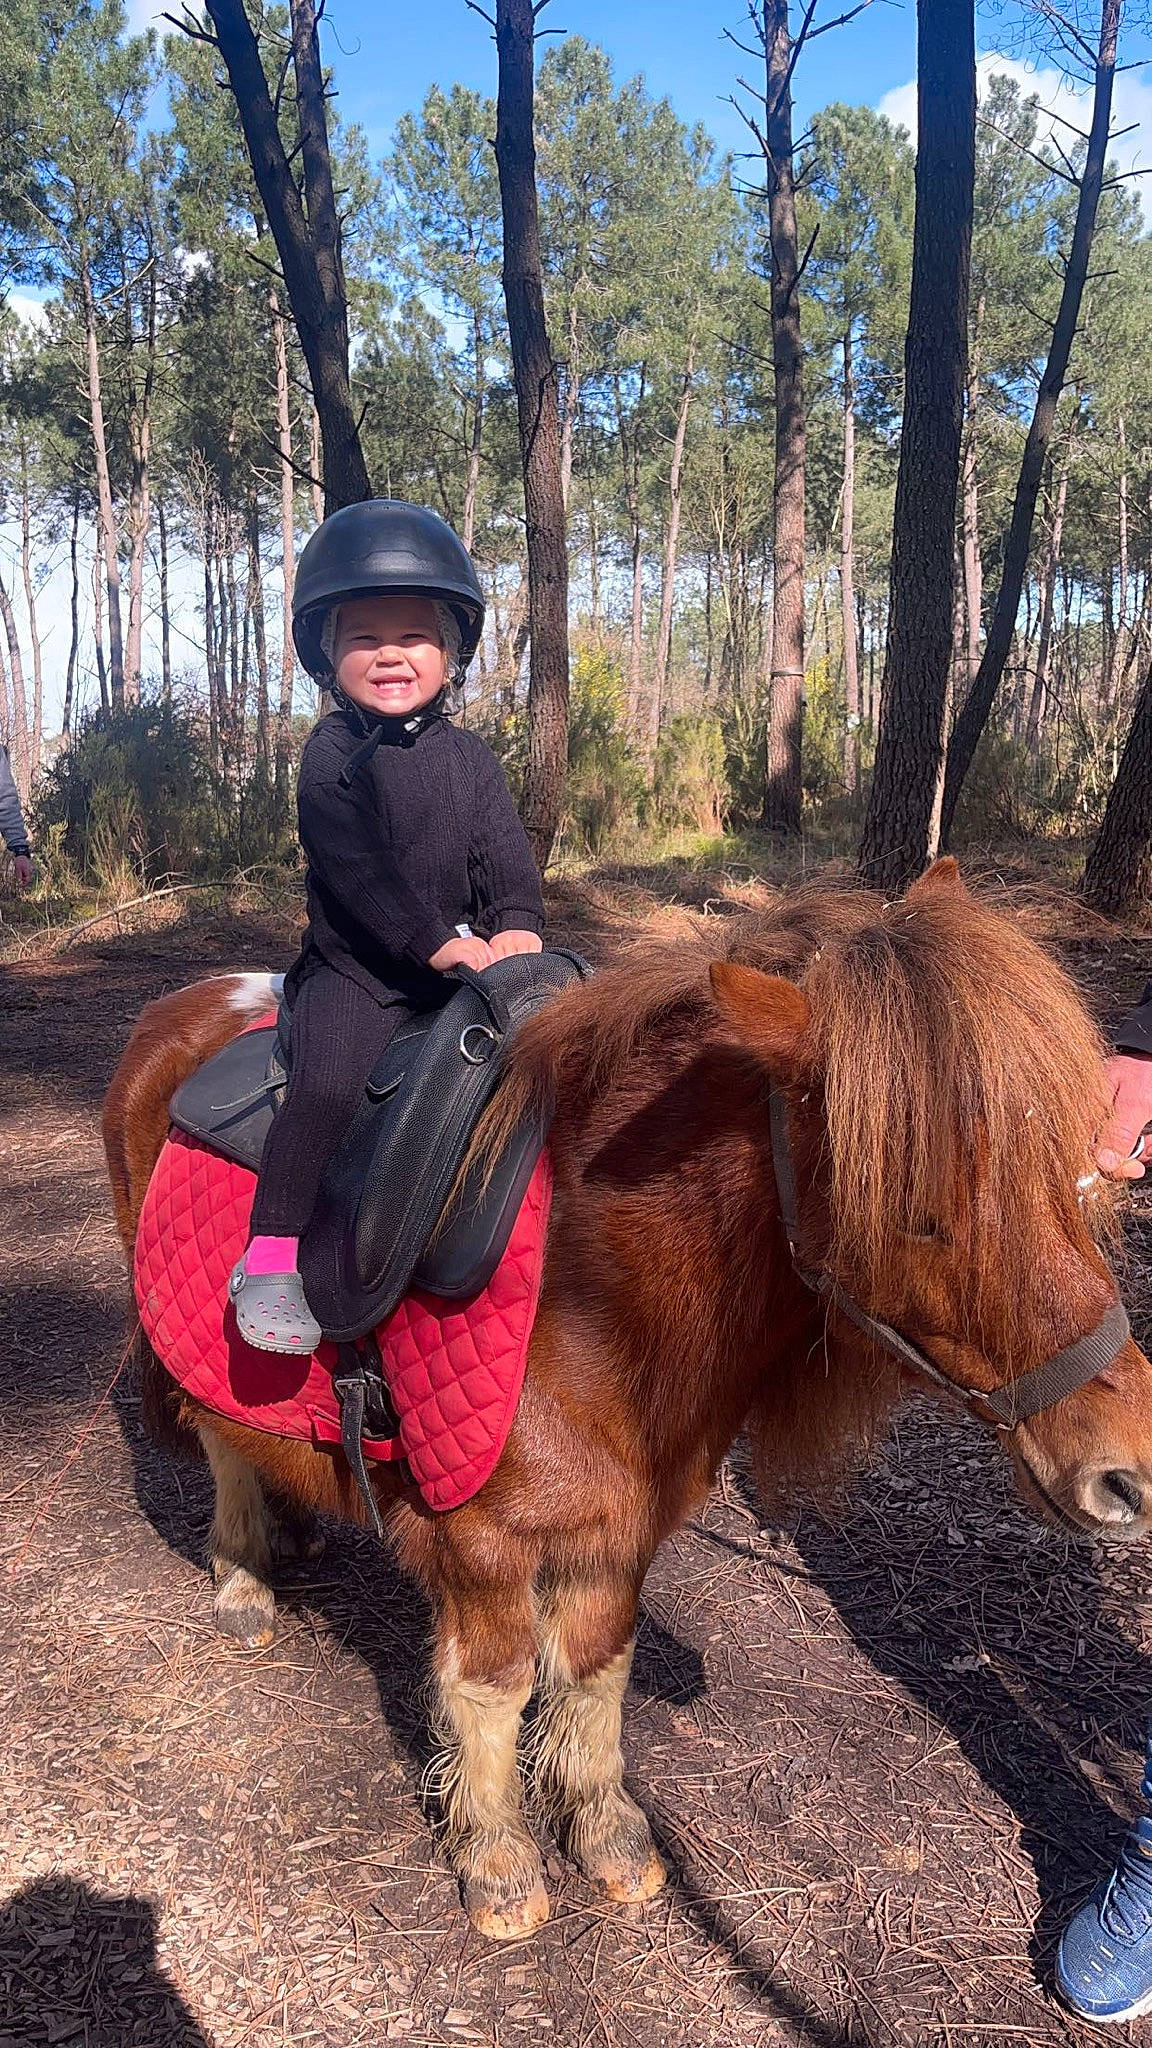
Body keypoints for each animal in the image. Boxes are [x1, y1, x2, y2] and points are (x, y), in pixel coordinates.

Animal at [102, 859, 1152, 1941]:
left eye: (1068, 1174)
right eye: (921, 1211)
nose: (1126, 1471)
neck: (592, 1294)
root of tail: (180, 1009)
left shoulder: (620, 1529)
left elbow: (597, 1670)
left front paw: (604, 1829)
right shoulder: (480, 1543)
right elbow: (493, 1690)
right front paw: (499, 1860)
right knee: (214, 1434)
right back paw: (242, 1576)